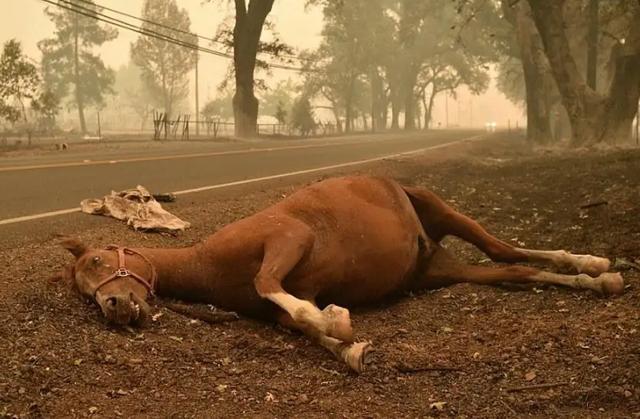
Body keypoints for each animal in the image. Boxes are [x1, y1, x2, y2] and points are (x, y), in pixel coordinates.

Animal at [56, 176, 624, 372]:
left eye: (98, 260)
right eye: (84, 291)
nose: (113, 307)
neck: (209, 262)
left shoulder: (287, 239)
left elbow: (276, 288)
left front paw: (336, 321)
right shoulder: (279, 306)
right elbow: (301, 324)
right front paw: (346, 344)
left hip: (442, 211)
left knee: (505, 247)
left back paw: (593, 264)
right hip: (441, 271)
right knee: (516, 269)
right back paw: (595, 280)